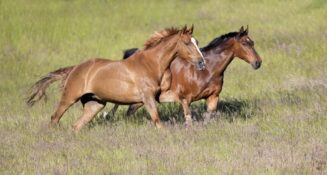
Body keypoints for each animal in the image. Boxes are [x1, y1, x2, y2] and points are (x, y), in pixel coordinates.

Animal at [26, 25, 205, 130]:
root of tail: (74, 68)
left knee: (76, 125)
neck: (152, 64)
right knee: (55, 117)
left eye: (197, 42)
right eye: (187, 43)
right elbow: (157, 120)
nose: (201, 62)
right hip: (69, 97)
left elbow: (181, 100)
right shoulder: (147, 98)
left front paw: (189, 121)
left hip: (95, 104)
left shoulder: (159, 95)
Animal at [112, 26, 262, 124]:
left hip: (139, 100)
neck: (207, 71)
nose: (258, 62)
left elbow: (208, 118)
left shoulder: (213, 97)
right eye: (244, 43)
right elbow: (188, 119)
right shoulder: (185, 99)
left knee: (128, 112)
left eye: (252, 42)